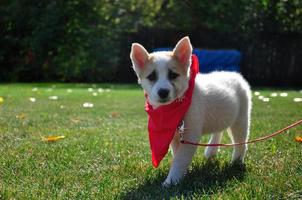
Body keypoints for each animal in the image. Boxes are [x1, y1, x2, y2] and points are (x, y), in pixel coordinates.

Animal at [131, 36, 251, 186]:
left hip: (241, 118)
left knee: (241, 141)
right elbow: (177, 155)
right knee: (219, 130)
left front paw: (171, 181)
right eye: (151, 77)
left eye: (173, 75)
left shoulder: (190, 135)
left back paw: (236, 162)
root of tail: (236, 75)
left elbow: (180, 159)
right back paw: (211, 151)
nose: (163, 92)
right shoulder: (175, 136)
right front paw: (181, 176)